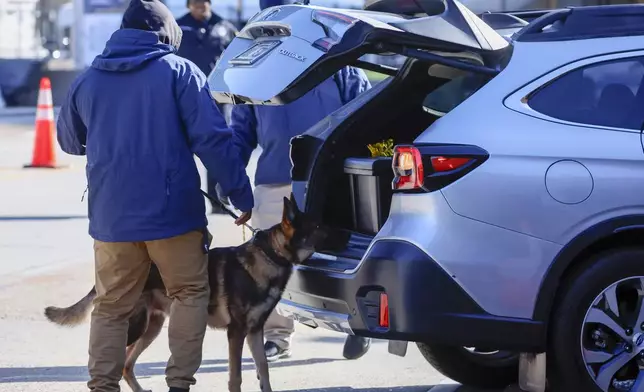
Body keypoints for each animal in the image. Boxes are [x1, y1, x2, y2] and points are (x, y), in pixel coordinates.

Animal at [44, 195, 328, 392]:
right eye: (317, 227)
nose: (340, 235)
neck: (270, 255)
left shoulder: (255, 331)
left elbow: (264, 370)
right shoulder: (236, 333)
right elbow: (235, 377)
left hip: (152, 327)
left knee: (125, 364)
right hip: (135, 326)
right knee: (112, 359)